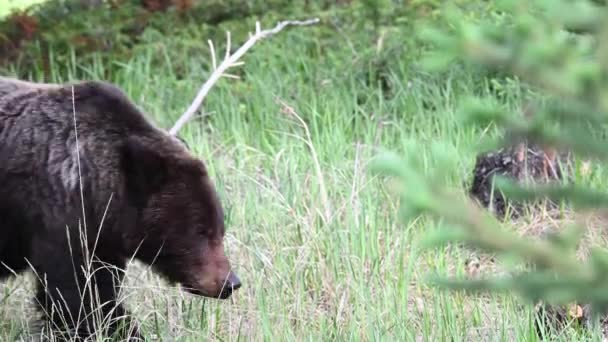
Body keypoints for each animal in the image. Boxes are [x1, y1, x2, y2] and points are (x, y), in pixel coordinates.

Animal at [0, 76, 241, 340]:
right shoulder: (58, 220)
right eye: (200, 231)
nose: (231, 283)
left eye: (220, 229)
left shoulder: (103, 243)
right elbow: (79, 297)